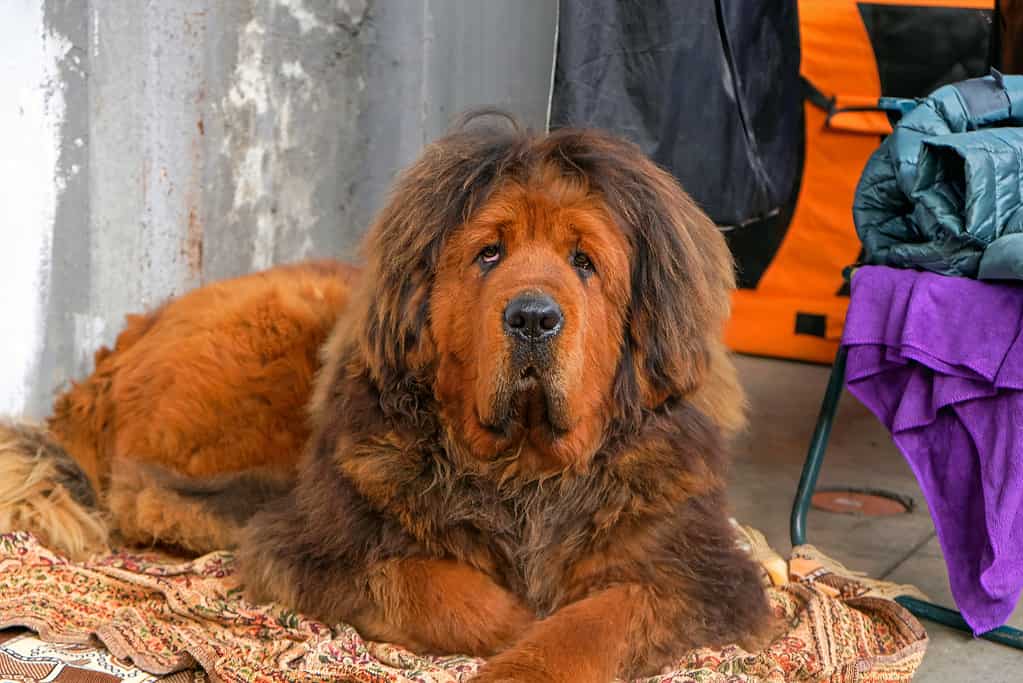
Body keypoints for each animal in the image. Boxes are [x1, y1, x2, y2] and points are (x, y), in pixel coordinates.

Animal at [1, 114, 769, 678]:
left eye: (584, 262)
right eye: (489, 253)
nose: (531, 317)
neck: (524, 473)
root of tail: (109, 360)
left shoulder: (703, 573)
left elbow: (600, 617)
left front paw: (535, 650)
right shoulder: (318, 544)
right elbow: (429, 583)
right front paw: (515, 626)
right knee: (147, 493)